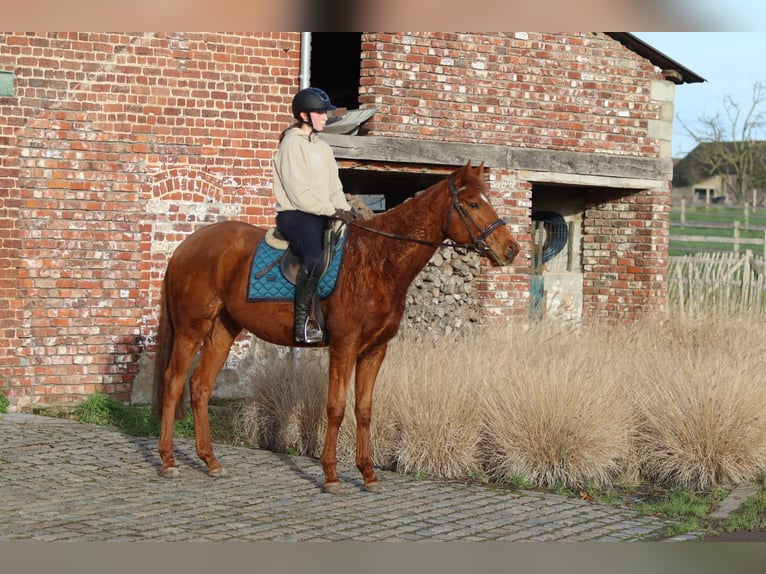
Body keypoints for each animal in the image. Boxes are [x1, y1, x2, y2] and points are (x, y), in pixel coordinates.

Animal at [152, 161, 520, 494]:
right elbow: (336, 407)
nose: (511, 249)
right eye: (473, 204)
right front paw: (331, 475)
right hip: (190, 329)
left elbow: (364, 409)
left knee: (200, 386)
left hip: (222, 330)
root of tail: (186, 246)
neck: (379, 259)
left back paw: (210, 461)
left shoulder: (374, 350)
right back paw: (168, 461)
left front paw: (368, 474)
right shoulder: (344, 346)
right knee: (173, 383)